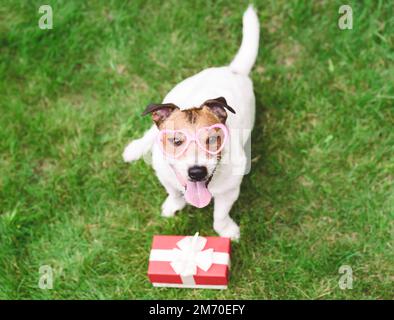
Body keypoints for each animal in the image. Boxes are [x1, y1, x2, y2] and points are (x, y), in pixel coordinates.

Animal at [122, 5, 258, 240]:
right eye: (176, 141)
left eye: (212, 139)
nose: (196, 172)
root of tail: (231, 70)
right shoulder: (166, 177)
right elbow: (174, 193)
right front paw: (173, 205)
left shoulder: (230, 191)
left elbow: (220, 214)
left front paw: (226, 230)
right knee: (150, 132)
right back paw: (135, 149)